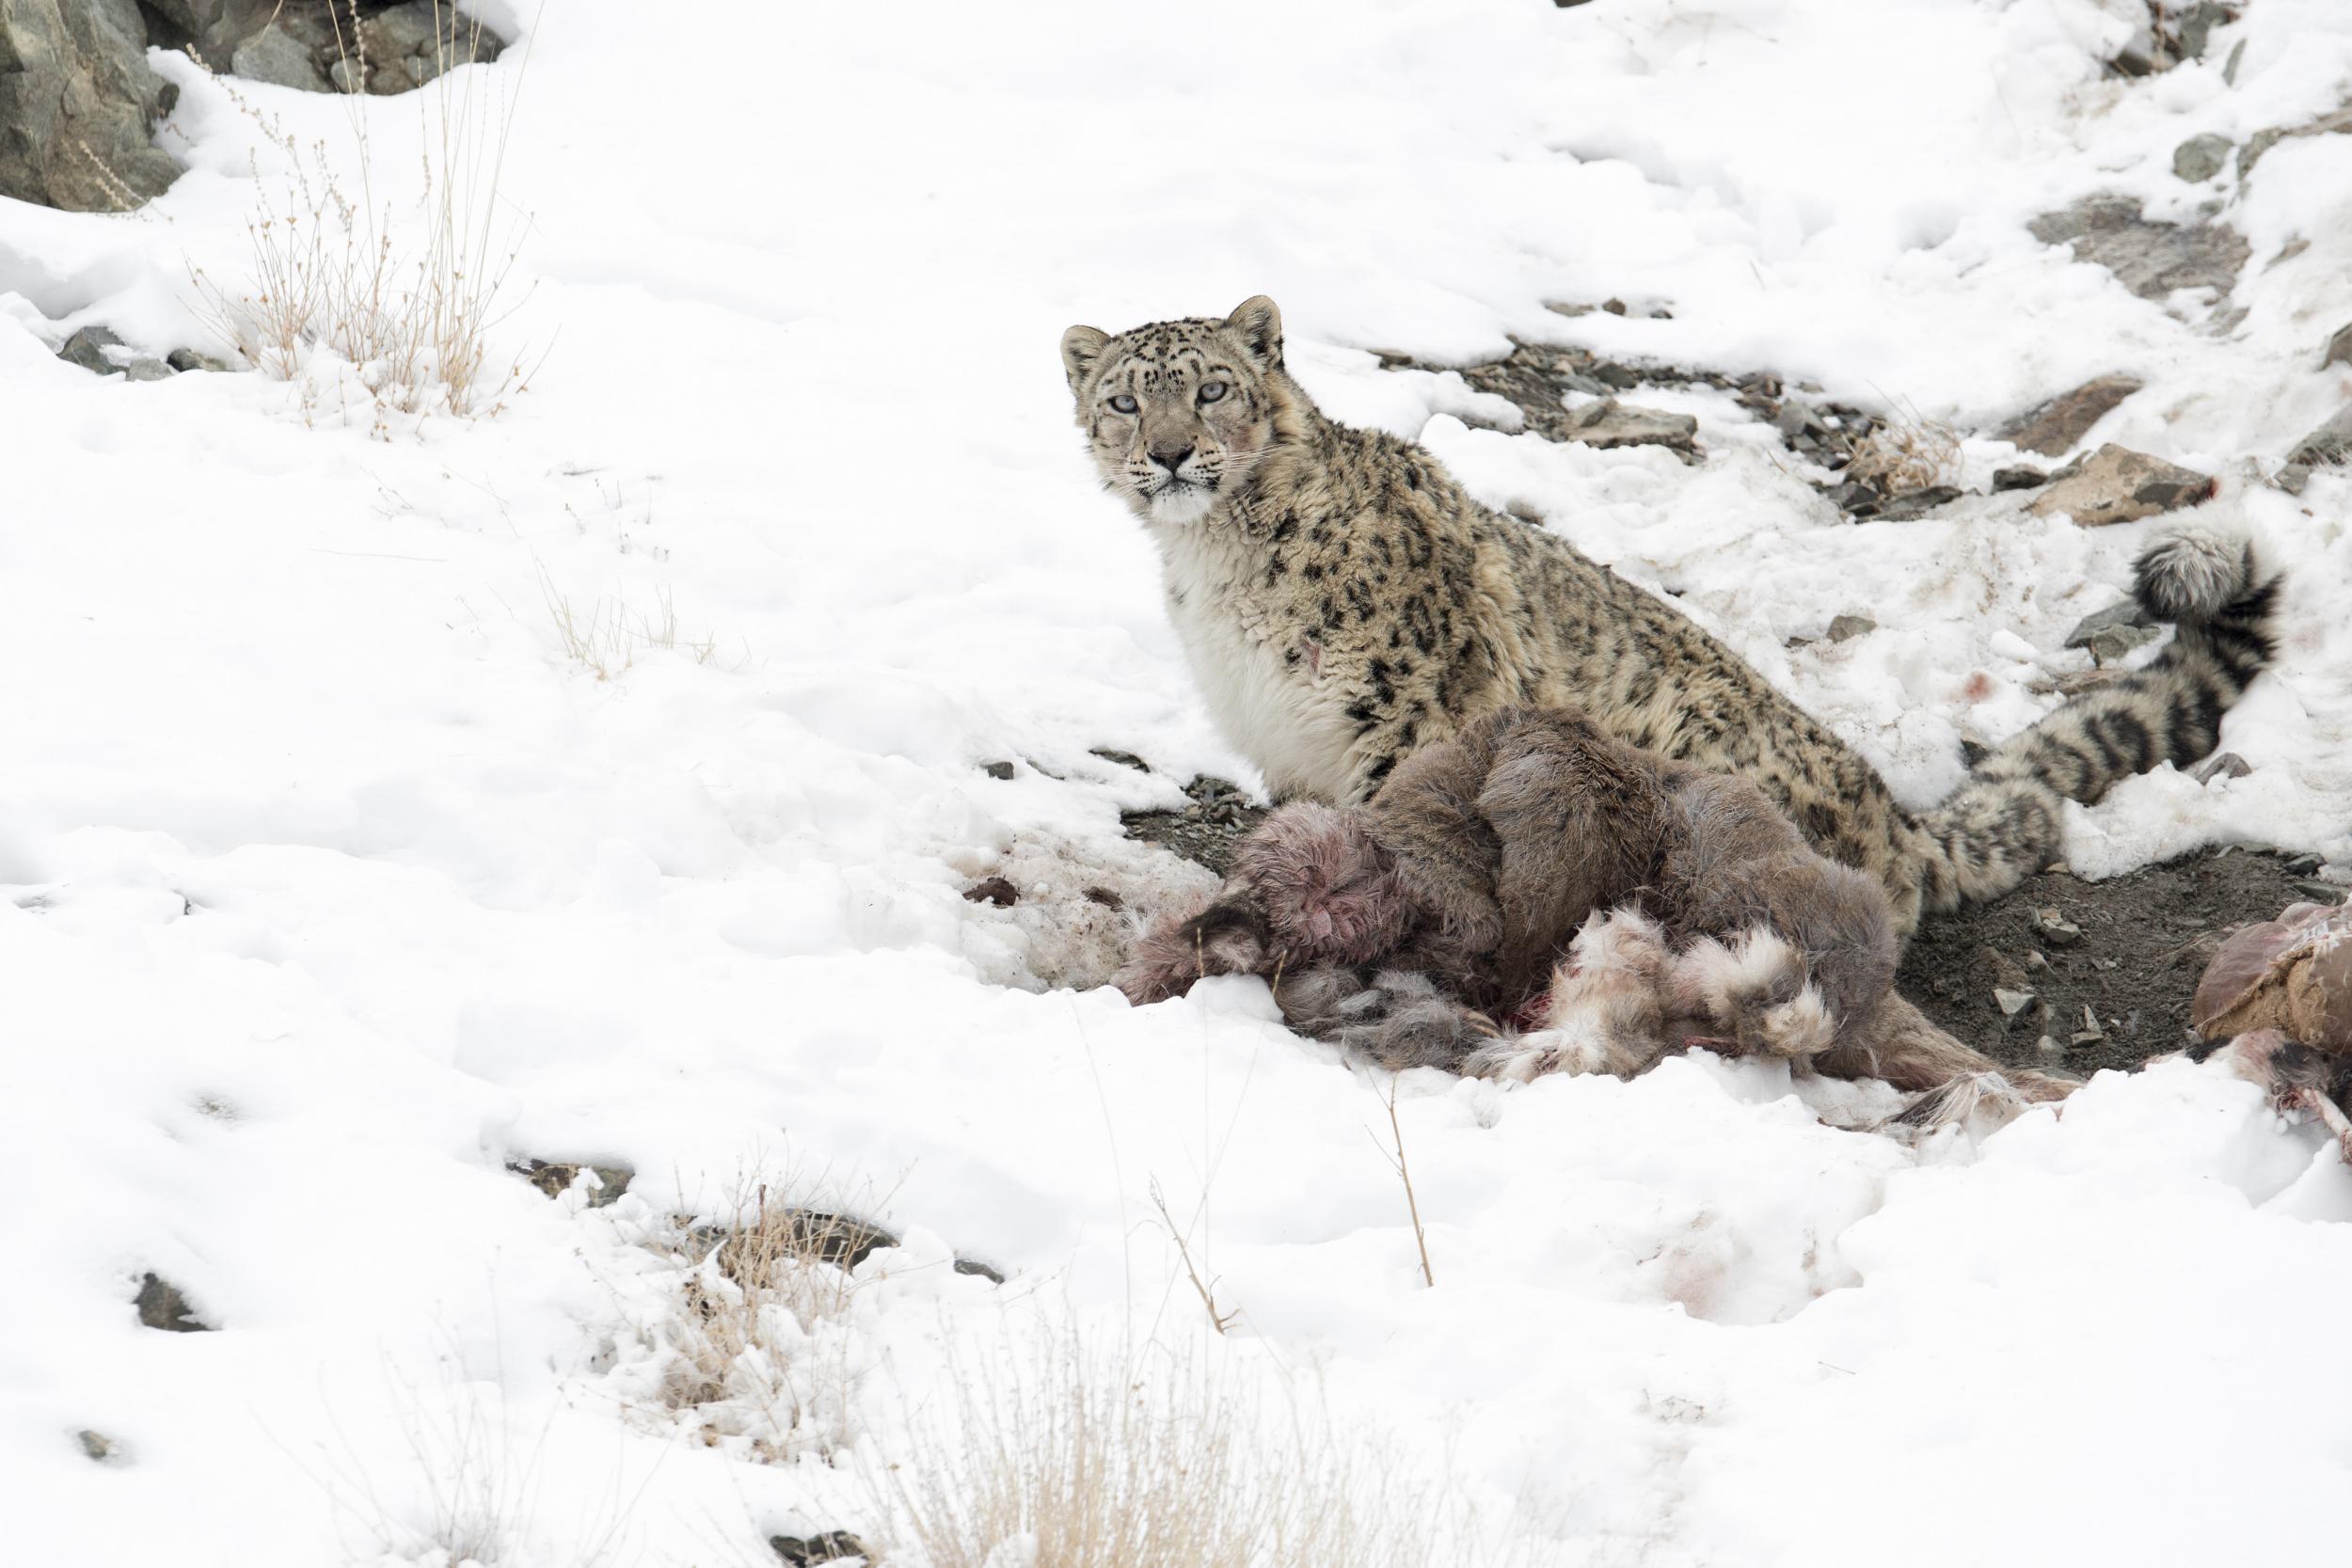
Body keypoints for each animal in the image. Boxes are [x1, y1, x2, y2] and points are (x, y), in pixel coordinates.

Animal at [1063, 298, 2277, 940]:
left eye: (1211, 387)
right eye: (1123, 397)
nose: (1168, 451)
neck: (1218, 569)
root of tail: (1895, 818)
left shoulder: (1400, 719)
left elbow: (1401, 835)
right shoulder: (1286, 745)